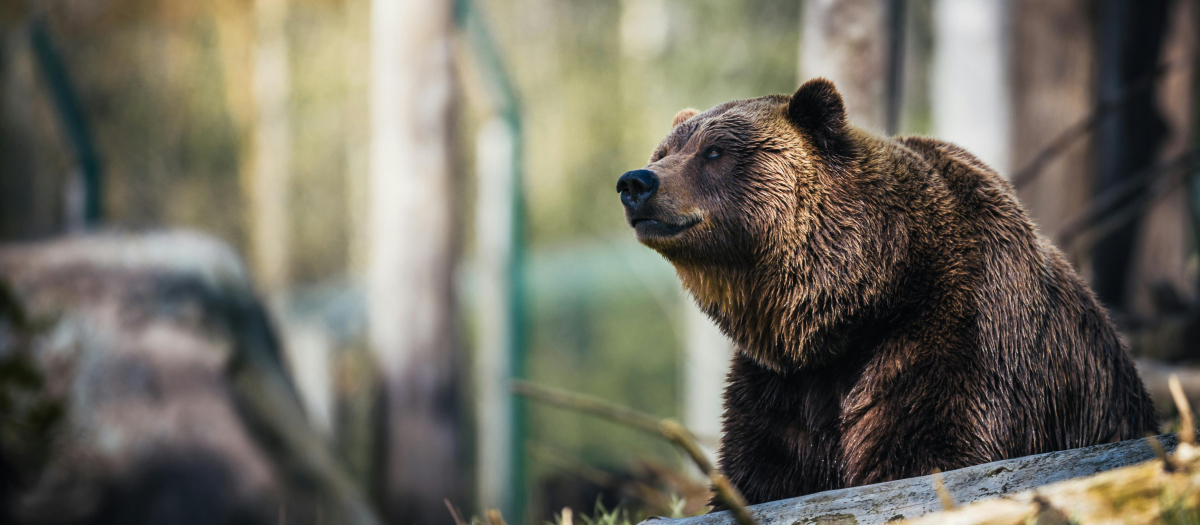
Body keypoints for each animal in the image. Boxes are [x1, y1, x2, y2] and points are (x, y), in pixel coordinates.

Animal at [619, 79, 1152, 505]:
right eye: (664, 152)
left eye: (714, 152)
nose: (636, 182)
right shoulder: (782, 385)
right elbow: (762, 472)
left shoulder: (956, 338)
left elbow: (929, 452)